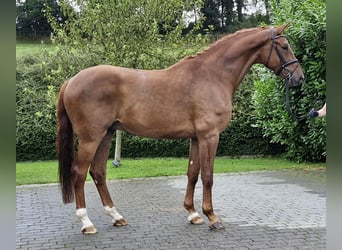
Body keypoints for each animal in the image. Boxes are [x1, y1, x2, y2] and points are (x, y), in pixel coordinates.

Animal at [56, 23, 304, 234]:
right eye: (284, 46)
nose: (299, 78)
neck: (212, 76)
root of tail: (71, 81)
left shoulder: (195, 138)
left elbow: (192, 174)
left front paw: (193, 214)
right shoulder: (210, 136)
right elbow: (208, 176)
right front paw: (212, 217)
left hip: (106, 134)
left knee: (98, 172)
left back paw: (116, 217)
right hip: (91, 138)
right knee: (79, 173)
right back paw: (87, 223)